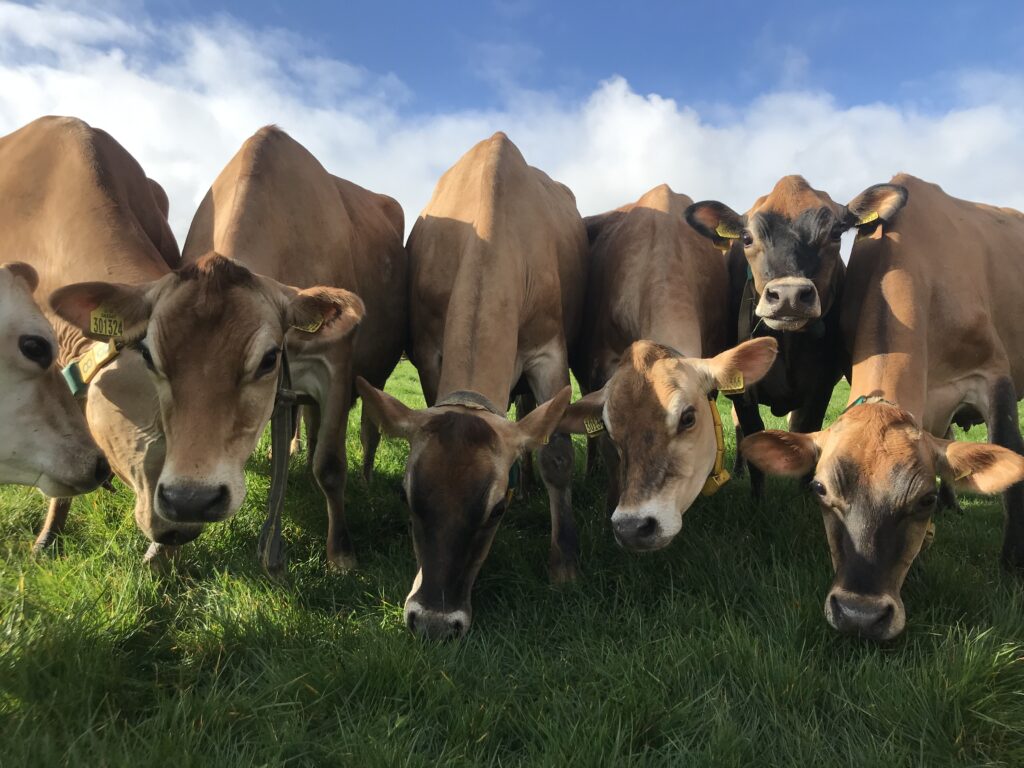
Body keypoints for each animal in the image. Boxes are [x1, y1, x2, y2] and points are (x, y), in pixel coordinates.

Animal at [357, 132, 585, 639]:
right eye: (407, 496)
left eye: (496, 509)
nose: (435, 623)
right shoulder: (427, 354)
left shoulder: (550, 354)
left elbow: (556, 456)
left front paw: (564, 564)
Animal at [684, 176, 906, 496]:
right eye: (746, 238)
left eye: (836, 233)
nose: (788, 296)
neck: (788, 345)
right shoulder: (743, 388)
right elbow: (752, 438)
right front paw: (758, 500)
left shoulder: (821, 386)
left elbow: (805, 431)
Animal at [741, 174, 1024, 640]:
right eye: (820, 489)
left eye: (923, 499)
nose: (861, 615)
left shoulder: (993, 376)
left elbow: (1012, 474)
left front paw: (1012, 569)